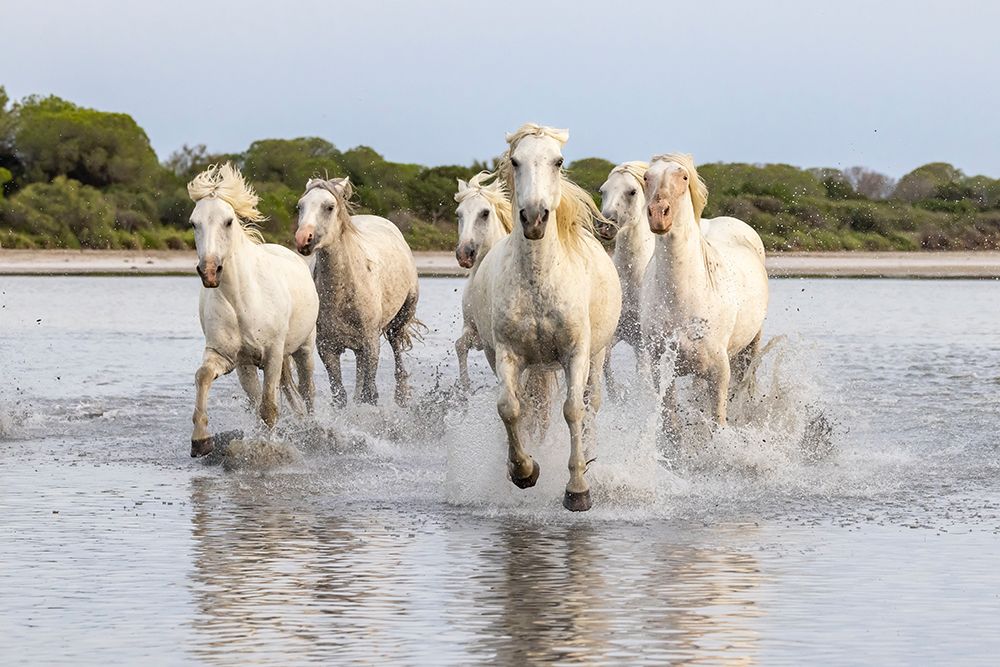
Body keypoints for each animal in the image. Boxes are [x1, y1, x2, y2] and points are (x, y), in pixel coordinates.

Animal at [187, 163, 318, 457]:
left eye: (228, 221)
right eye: (193, 223)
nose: (209, 272)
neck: (241, 302)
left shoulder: (272, 354)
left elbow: (268, 408)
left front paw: (265, 449)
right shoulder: (232, 358)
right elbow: (204, 376)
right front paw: (200, 440)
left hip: (303, 348)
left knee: (307, 391)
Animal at [294, 177, 421, 407]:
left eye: (329, 207)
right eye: (300, 206)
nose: (303, 239)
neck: (343, 292)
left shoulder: (371, 343)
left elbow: (369, 393)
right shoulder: (327, 348)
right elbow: (340, 395)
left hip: (400, 318)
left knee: (396, 346)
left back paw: (401, 396)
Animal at [453, 171, 513, 390]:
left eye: (485, 213)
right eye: (458, 214)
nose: (464, 254)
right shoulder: (473, 329)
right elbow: (460, 345)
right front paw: (465, 387)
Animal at [468, 124, 622, 511]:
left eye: (558, 161)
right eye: (515, 161)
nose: (534, 218)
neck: (540, 279)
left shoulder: (575, 353)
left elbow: (573, 410)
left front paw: (578, 489)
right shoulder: (507, 354)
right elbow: (510, 408)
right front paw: (523, 471)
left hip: (597, 356)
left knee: (590, 404)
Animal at [639, 153, 768, 430]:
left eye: (684, 177)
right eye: (646, 176)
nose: (658, 215)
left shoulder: (719, 372)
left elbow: (718, 422)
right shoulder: (661, 369)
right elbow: (671, 426)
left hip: (751, 345)